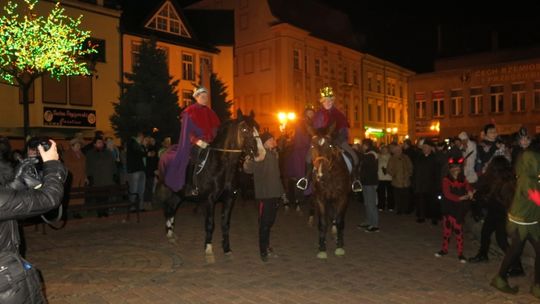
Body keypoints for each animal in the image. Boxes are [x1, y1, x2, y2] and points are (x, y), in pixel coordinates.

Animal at [162, 110, 260, 260]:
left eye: (257, 128)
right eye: (244, 129)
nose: (259, 152)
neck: (222, 165)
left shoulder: (229, 199)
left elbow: (225, 224)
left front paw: (227, 249)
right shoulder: (208, 200)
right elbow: (210, 224)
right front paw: (208, 249)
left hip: (178, 193)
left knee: (171, 207)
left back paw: (171, 234)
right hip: (169, 189)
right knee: (167, 207)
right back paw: (169, 233)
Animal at [308, 123, 350, 258]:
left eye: (330, 146)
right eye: (312, 146)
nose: (320, 174)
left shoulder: (343, 198)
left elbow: (340, 221)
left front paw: (340, 246)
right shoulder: (320, 198)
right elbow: (322, 223)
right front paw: (322, 248)